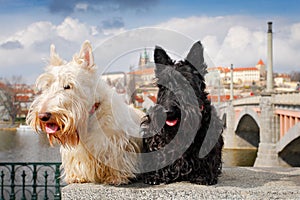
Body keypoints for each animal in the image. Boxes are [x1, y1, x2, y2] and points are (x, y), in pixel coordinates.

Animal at [26, 41, 143, 186]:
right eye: (47, 86)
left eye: (68, 86)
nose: (43, 116)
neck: (89, 117)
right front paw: (77, 177)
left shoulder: (116, 143)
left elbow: (116, 161)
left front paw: (116, 178)